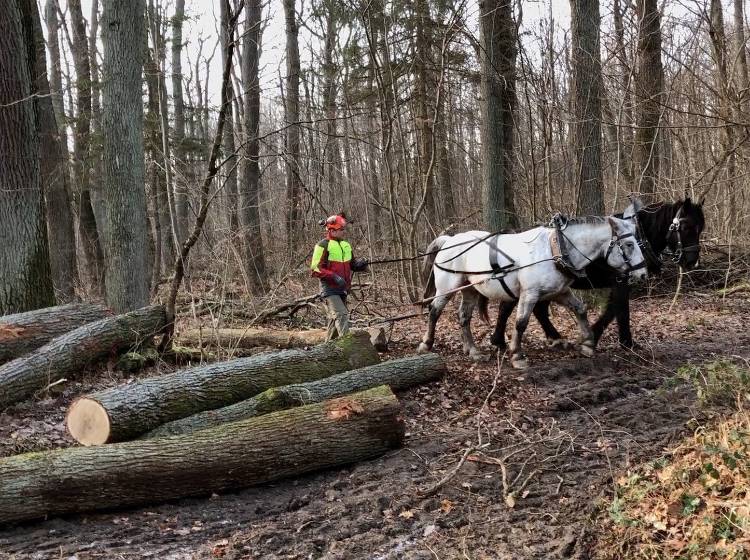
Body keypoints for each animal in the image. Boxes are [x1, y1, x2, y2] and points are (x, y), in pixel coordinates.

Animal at [420, 214, 648, 368]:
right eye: (629, 244)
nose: (644, 273)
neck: (555, 249)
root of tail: (449, 240)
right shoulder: (530, 294)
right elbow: (521, 323)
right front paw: (517, 355)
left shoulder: (560, 292)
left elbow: (580, 310)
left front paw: (588, 344)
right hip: (447, 287)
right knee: (435, 311)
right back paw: (426, 344)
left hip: (471, 290)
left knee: (464, 316)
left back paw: (473, 351)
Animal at [490, 198, 708, 350]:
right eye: (686, 227)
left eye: (701, 228)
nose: (692, 261)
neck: (638, 237)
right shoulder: (621, 280)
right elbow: (620, 310)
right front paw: (624, 342)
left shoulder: (621, 281)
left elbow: (612, 309)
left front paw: (595, 336)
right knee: (508, 307)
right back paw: (499, 340)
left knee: (538, 310)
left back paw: (554, 337)